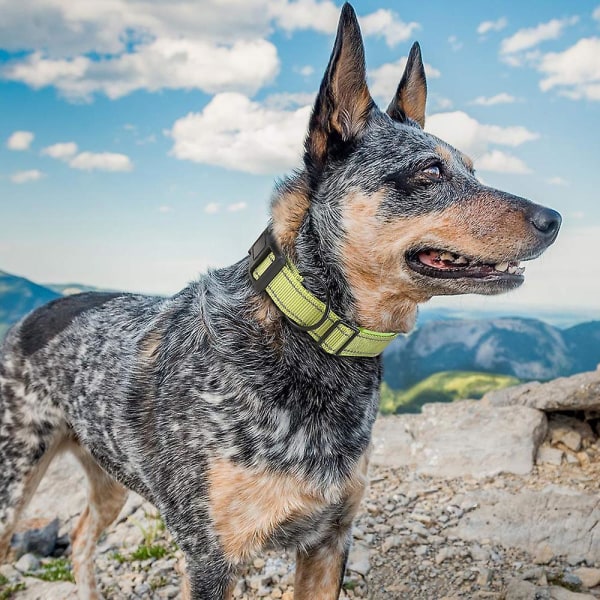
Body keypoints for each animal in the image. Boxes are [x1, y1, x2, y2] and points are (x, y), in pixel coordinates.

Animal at [1, 4, 564, 600]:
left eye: (472, 170)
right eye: (431, 171)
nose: (555, 219)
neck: (309, 330)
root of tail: (30, 318)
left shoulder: (330, 539)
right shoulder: (211, 561)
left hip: (107, 474)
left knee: (81, 537)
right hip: (14, 484)